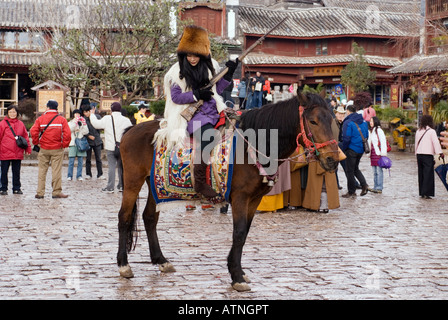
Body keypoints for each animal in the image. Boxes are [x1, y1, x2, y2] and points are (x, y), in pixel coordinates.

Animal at [117, 90, 338, 292]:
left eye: (333, 121)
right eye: (313, 121)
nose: (332, 160)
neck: (254, 144)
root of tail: (130, 130)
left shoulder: (254, 199)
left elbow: (245, 232)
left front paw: (237, 270)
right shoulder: (240, 197)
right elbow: (238, 233)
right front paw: (237, 276)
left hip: (155, 185)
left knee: (149, 217)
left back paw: (160, 260)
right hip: (133, 181)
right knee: (124, 217)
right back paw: (123, 265)